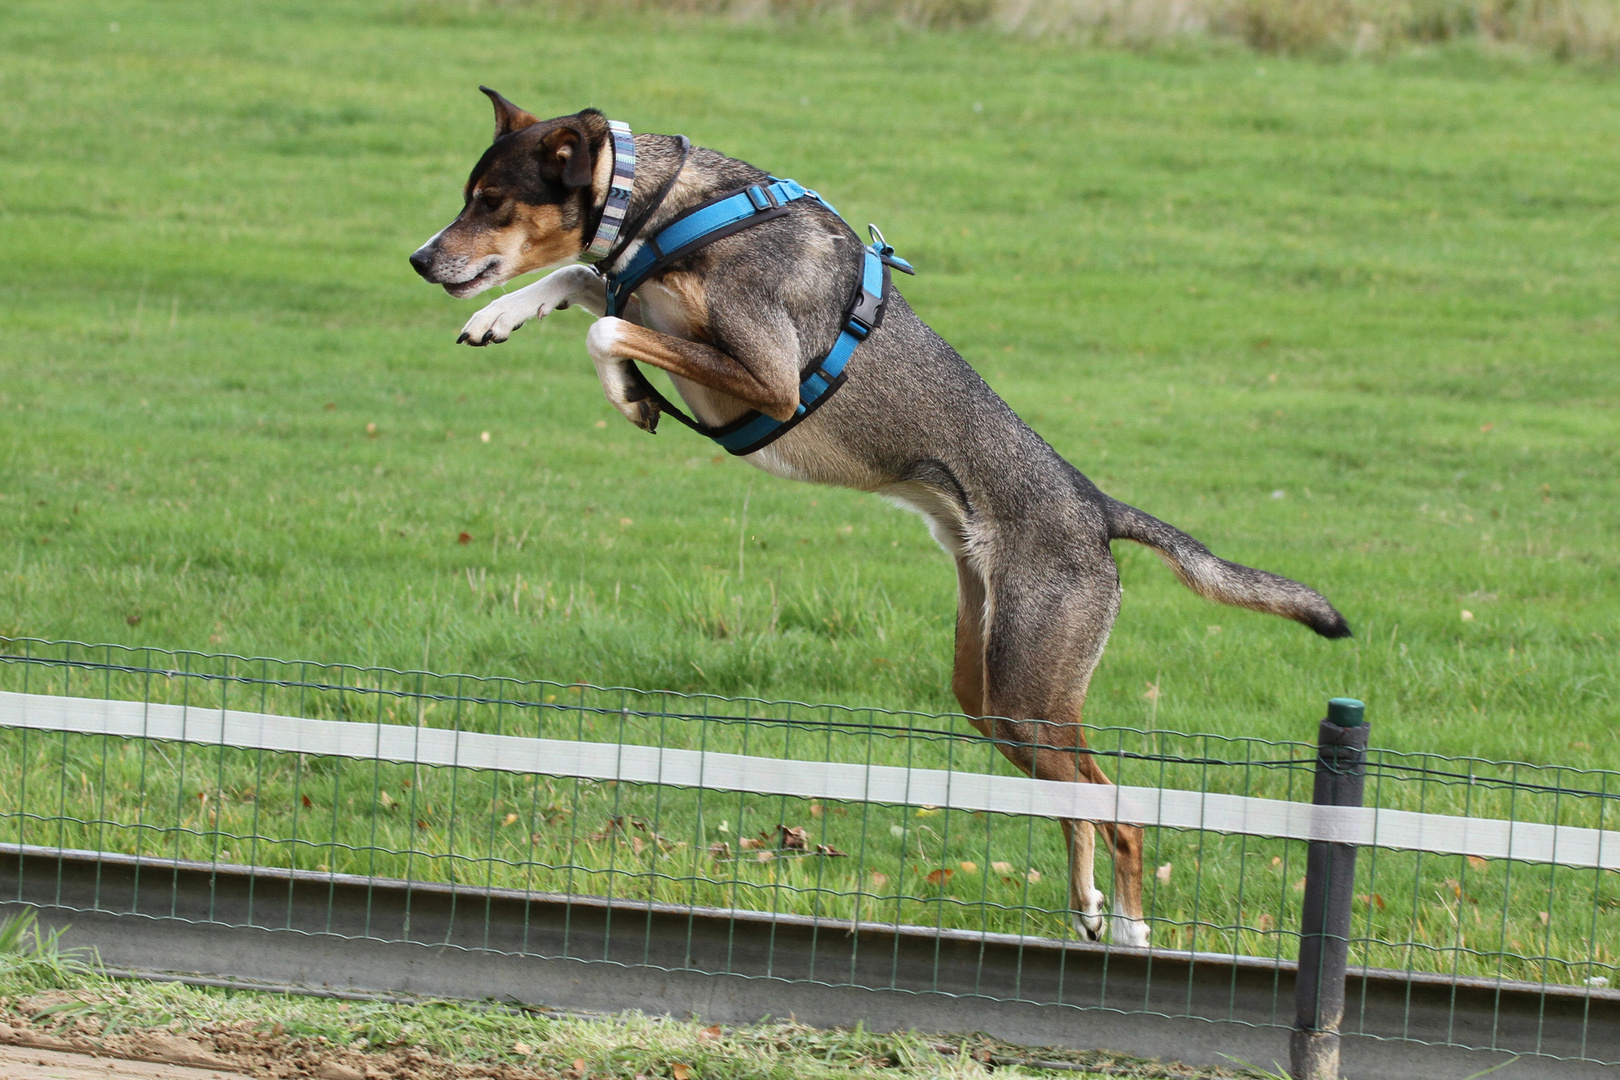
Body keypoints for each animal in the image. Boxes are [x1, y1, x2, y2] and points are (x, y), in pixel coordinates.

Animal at [411, 93, 1347, 945]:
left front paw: (626, 388)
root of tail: (1094, 506)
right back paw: (1085, 909)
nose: (421, 259)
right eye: (468, 196)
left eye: (492, 202)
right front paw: (503, 319)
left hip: (1029, 690)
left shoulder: (766, 380)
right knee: (1078, 799)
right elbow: (585, 285)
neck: (672, 210)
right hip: (993, 696)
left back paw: (1128, 930)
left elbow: (604, 325)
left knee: (1118, 807)